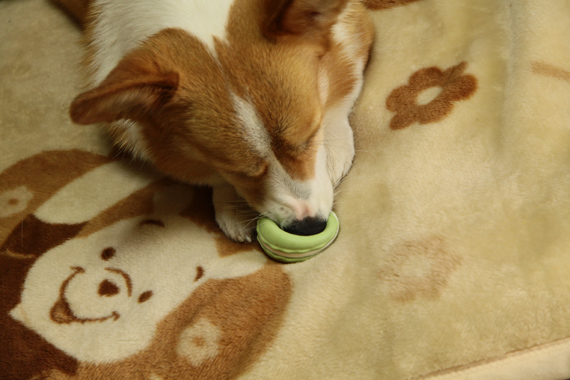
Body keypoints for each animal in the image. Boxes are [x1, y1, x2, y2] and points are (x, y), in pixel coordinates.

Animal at [52, 0, 372, 242]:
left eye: (310, 136)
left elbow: (340, 97)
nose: (308, 227)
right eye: (237, 171)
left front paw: (334, 151)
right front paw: (231, 204)